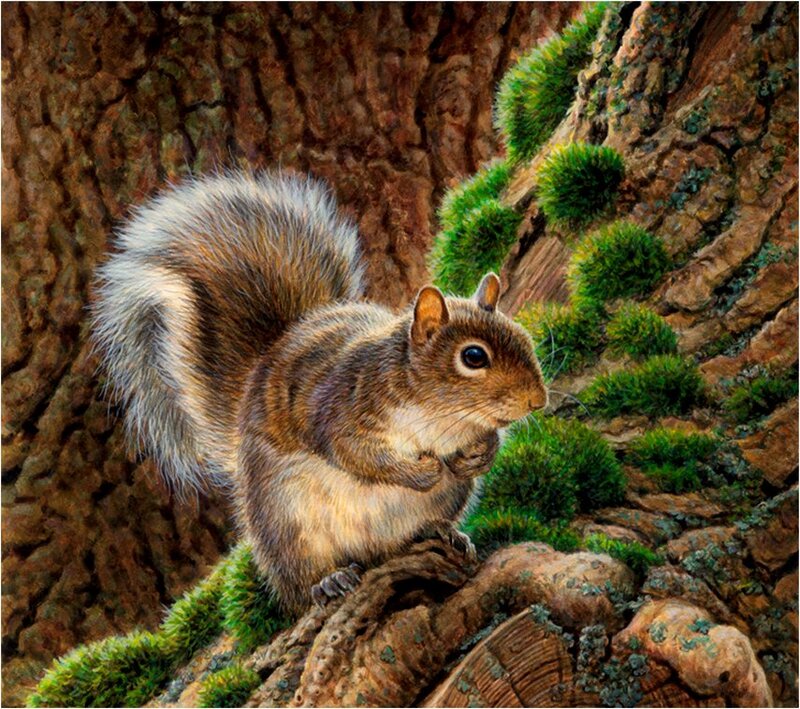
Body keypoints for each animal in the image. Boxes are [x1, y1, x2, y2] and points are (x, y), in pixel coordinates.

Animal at [92, 170, 548, 614]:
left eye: (523, 337)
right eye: (473, 356)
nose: (537, 401)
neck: (440, 417)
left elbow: (486, 439)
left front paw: (479, 455)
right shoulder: (342, 407)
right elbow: (355, 453)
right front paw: (420, 471)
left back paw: (444, 532)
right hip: (286, 521)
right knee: (295, 582)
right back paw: (328, 580)